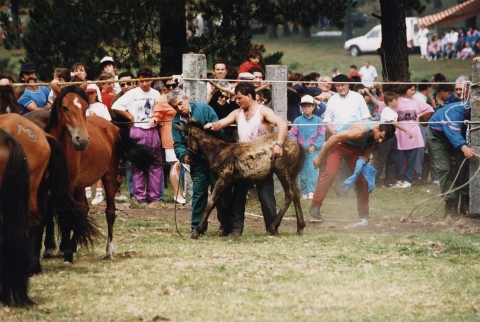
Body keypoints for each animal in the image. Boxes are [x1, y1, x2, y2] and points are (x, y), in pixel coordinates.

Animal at [26, 85, 155, 262]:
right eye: (64, 107)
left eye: (86, 107)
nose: (82, 140)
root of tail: (112, 127)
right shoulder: (46, 185)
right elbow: (47, 214)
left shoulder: (68, 184)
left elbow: (67, 214)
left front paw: (66, 254)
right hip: (80, 185)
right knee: (83, 209)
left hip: (109, 177)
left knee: (109, 212)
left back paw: (108, 250)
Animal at [177, 121, 308, 239]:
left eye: (185, 138)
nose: (189, 160)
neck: (218, 151)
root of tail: (295, 143)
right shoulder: (228, 183)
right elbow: (226, 204)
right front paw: (226, 230)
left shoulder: (223, 180)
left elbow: (211, 203)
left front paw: (196, 232)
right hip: (291, 174)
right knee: (296, 194)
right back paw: (300, 227)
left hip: (282, 171)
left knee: (289, 194)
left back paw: (272, 228)